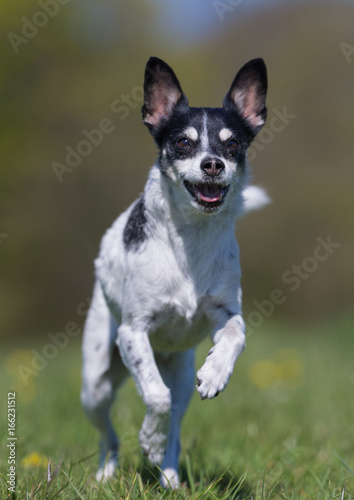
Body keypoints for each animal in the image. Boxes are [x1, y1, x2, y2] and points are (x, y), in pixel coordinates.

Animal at [80, 55, 268, 488]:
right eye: (183, 142)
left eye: (233, 144)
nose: (213, 163)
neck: (191, 239)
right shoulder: (133, 332)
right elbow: (154, 395)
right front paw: (148, 436)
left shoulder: (224, 313)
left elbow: (236, 336)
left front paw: (216, 372)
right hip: (95, 385)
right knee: (110, 433)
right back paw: (107, 471)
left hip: (181, 376)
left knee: (177, 425)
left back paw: (168, 476)